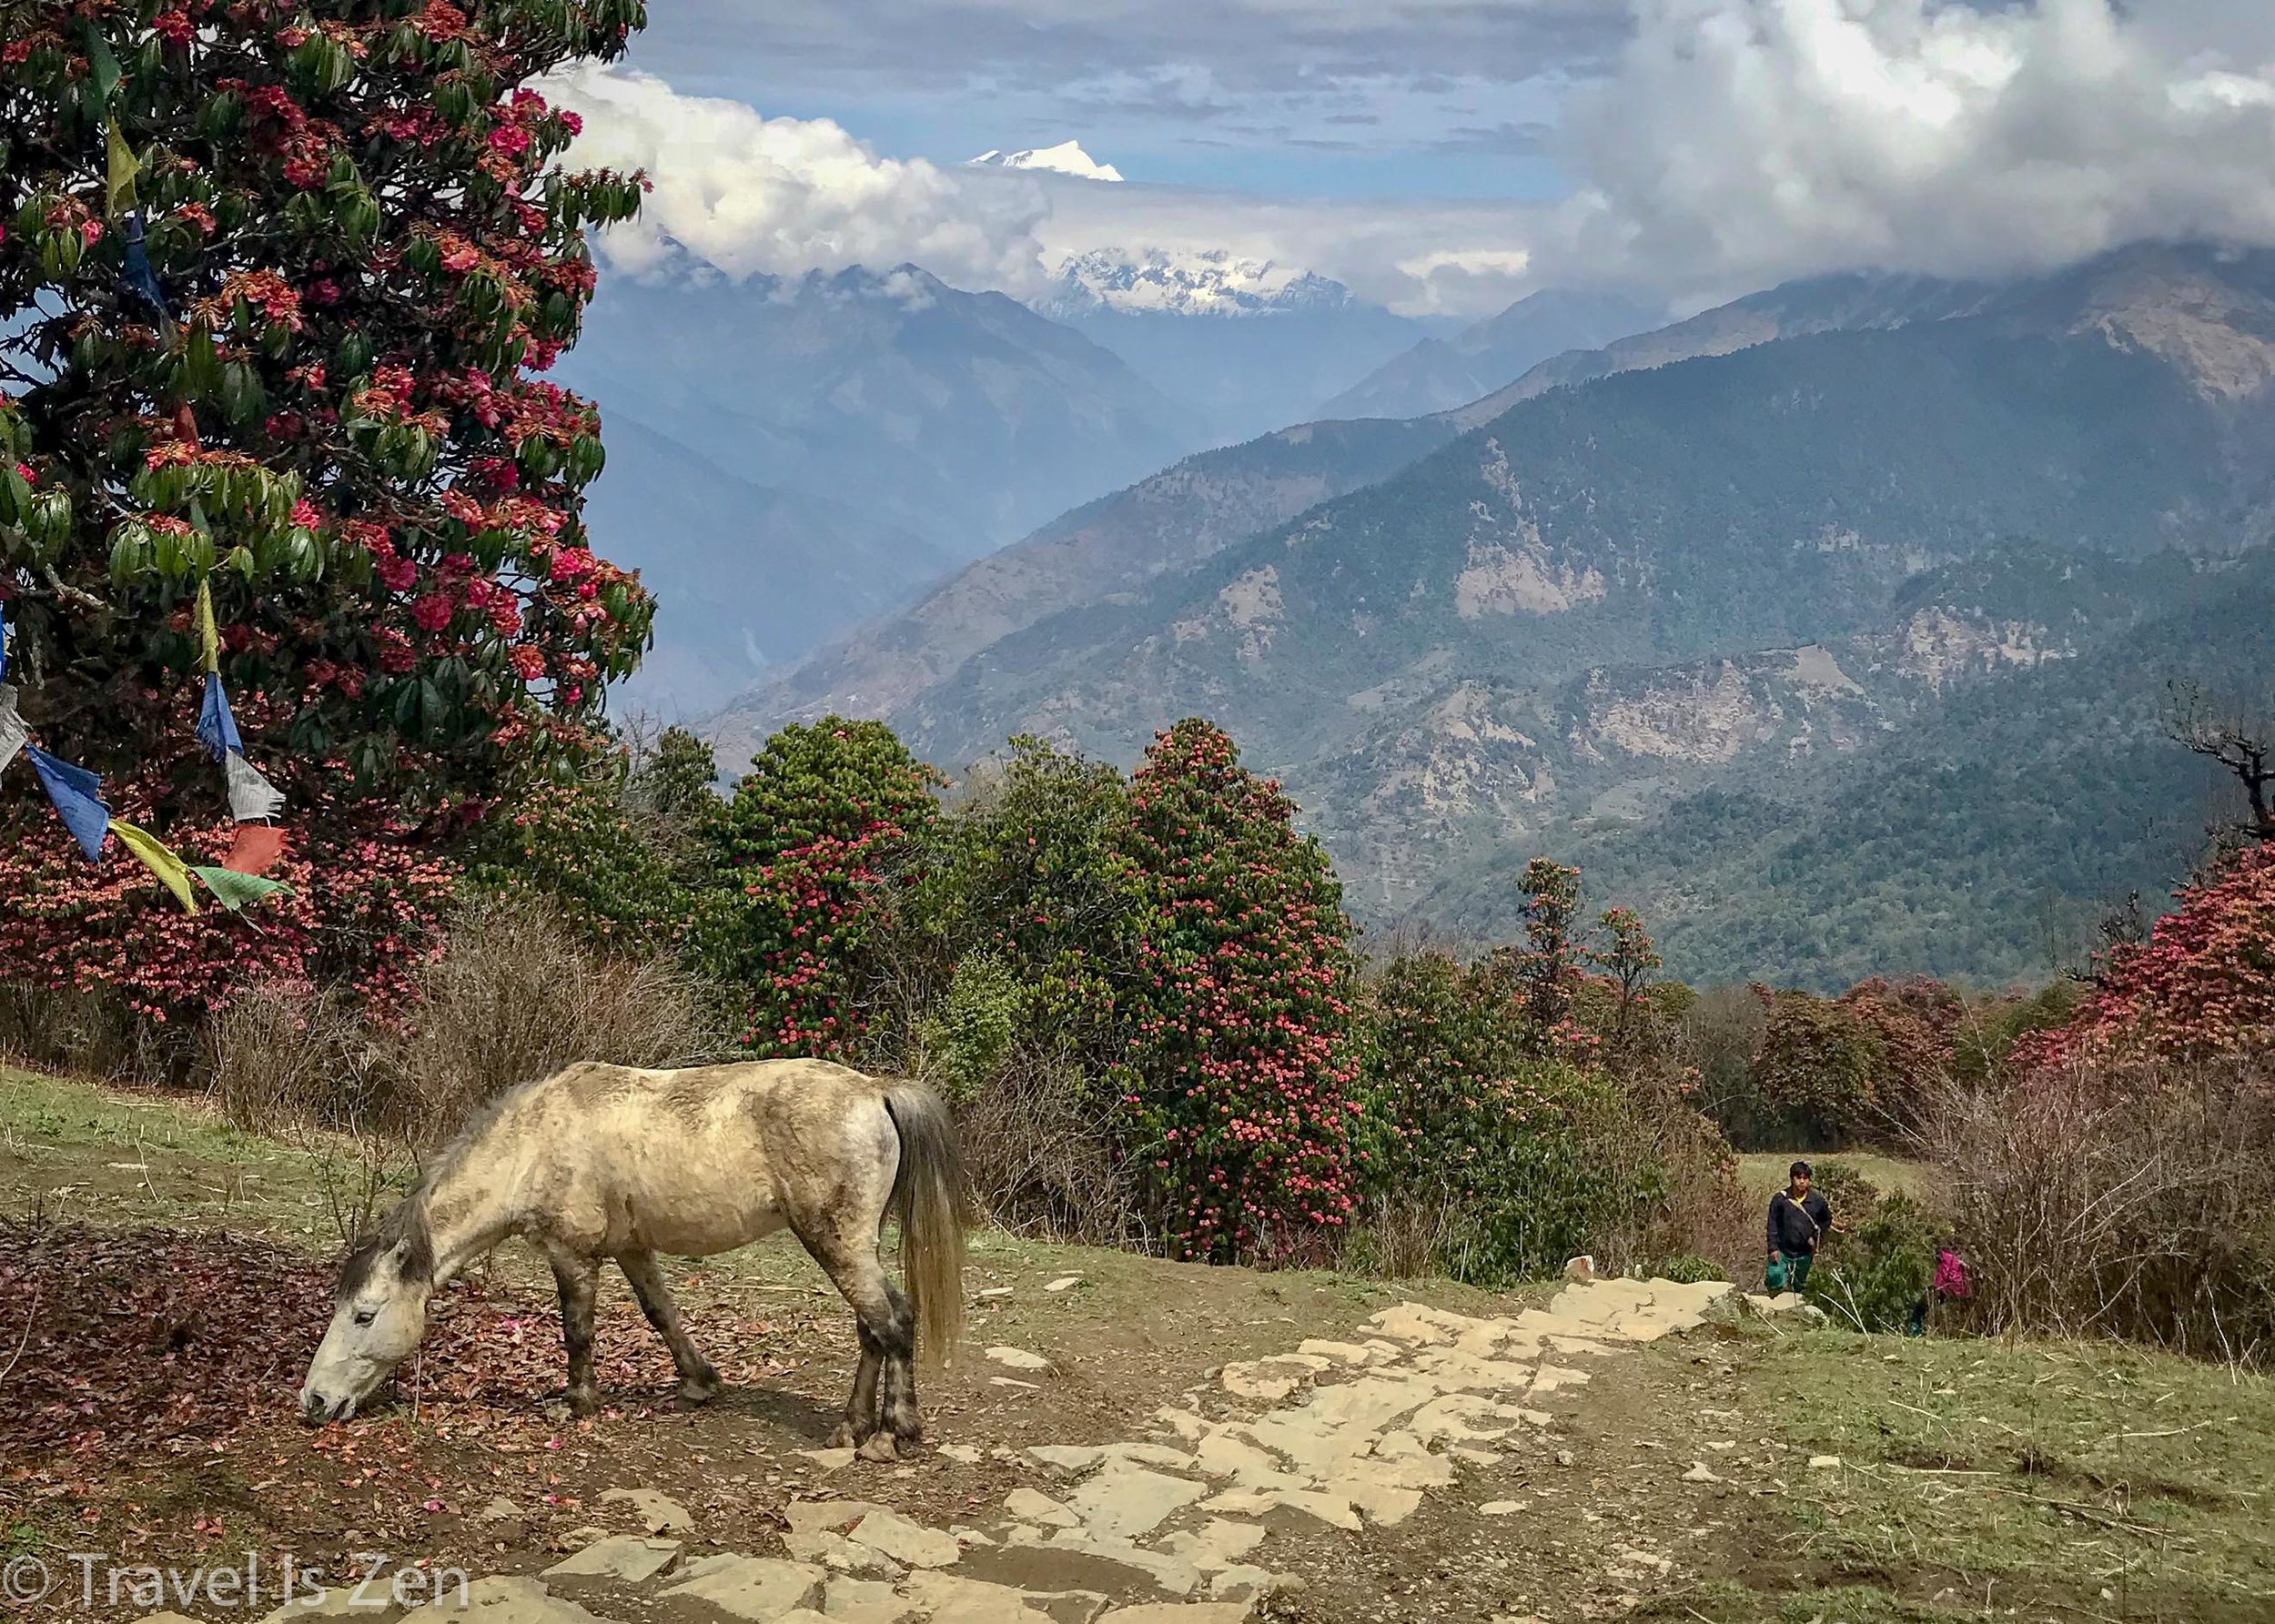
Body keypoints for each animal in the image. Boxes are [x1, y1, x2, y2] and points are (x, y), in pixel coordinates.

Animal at [298, 1051, 965, 1456]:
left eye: (364, 1313)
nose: (314, 1400)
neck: (534, 1145)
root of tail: (876, 1091)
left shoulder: (572, 1256)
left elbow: (577, 1331)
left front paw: (575, 1403)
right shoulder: (633, 1249)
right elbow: (661, 1315)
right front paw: (698, 1383)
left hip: (837, 1241)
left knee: (892, 1320)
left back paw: (893, 1433)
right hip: (850, 1244)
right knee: (871, 1327)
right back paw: (851, 1426)